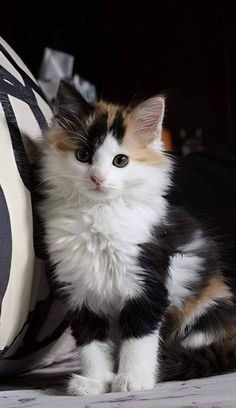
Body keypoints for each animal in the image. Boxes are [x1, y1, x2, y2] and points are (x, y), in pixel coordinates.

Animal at [39, 80, 236, 396]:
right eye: (83, 156)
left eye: (120, 161)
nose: (97, 178)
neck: (99, 214)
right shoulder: (80, 291)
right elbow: (90, 343)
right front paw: (95, 382)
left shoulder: (146, 283)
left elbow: (138, 338)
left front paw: (132, 380)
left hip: (207, 307)